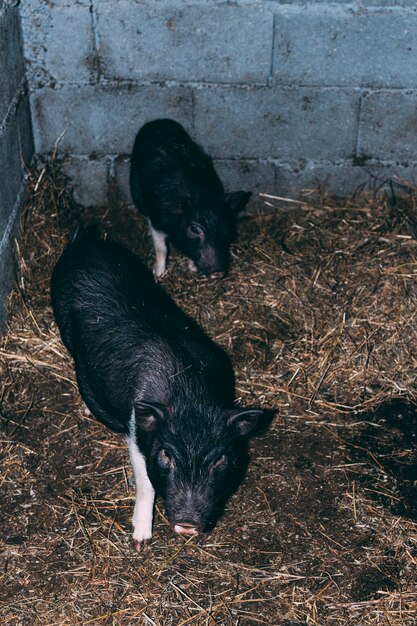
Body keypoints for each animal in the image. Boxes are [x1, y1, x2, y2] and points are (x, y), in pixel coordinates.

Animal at [50, 235, 264, 552]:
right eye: (166, 454)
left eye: (219, 460)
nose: (187, 522)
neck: (189, 394)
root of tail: (86, 242)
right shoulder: (136, 428)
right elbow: (145, 483)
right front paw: (140, 543)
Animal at [130, 119, 250, 278]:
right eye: (194, 229)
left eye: (225, 226)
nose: (218, 272)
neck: (196, 195)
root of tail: (158, 121)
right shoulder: (156, 218)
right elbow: (161, 247)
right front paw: (158, 274)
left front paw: (192, 269)